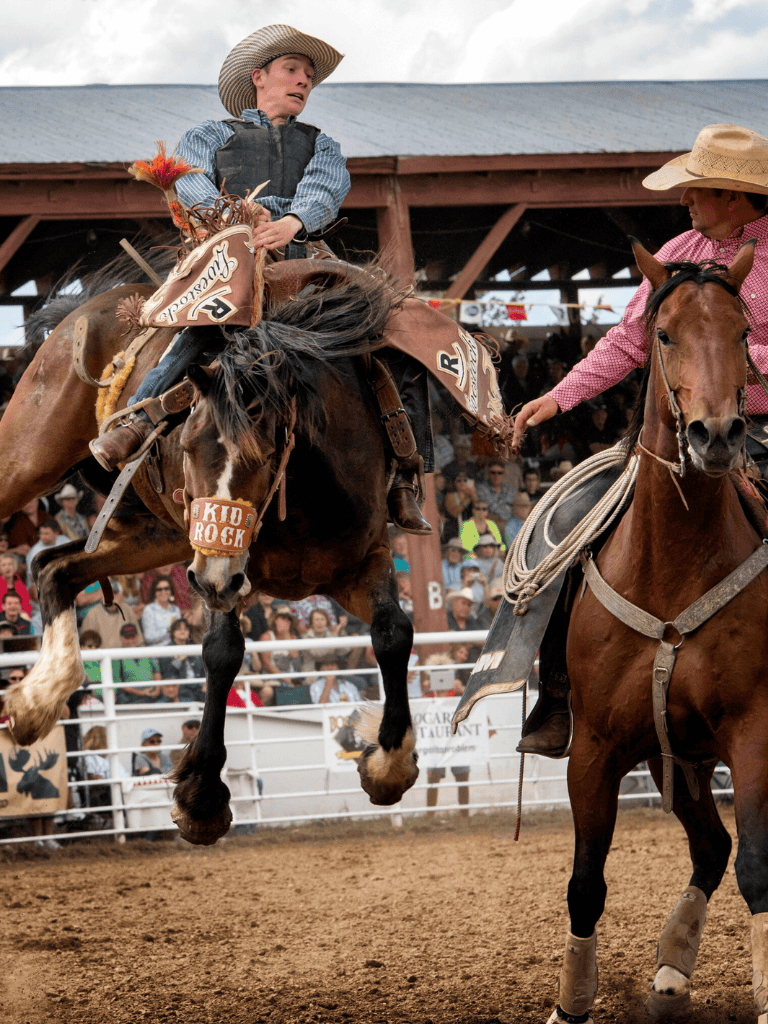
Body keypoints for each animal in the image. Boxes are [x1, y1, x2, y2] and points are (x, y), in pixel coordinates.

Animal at [1, 255, 419, 845]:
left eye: (265, 451)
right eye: (189, 446)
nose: (215, 579)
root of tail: (81, 311)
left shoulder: (358, 562)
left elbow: (393, 632)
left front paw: (389, 764)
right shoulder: (219, 571)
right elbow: (223, 653)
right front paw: (201, 797)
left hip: (157, 535)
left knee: (53, 567)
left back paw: (35, 701)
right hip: (27, 458)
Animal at [546, 238, 768, 1024]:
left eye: (742, 333)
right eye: (663, 334)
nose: (716, 435)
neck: (671, 566)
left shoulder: (754, 730)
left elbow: (758, 867)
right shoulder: (598, 745)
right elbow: (586, 881)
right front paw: (571, 1003)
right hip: (679, 756)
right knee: (708, 845)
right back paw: (671, 971)